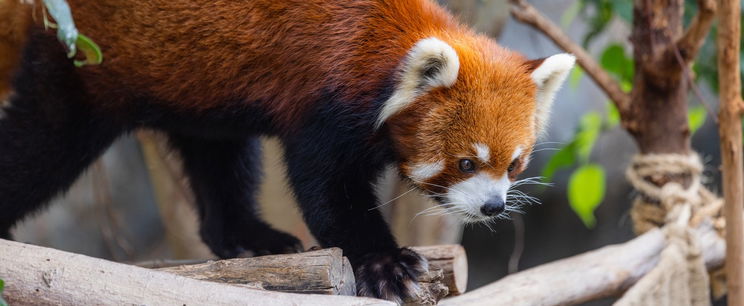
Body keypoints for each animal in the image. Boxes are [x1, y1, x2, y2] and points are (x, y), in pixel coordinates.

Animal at [0, 0, 576, 302]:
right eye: (466, 162)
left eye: (514, 164)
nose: (493, 207)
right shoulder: (324, 99)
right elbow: (328, 192)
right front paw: (386, 263)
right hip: (83, 57)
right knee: (40, 146)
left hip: (198, 85)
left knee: (220, 160)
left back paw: (248, 238)